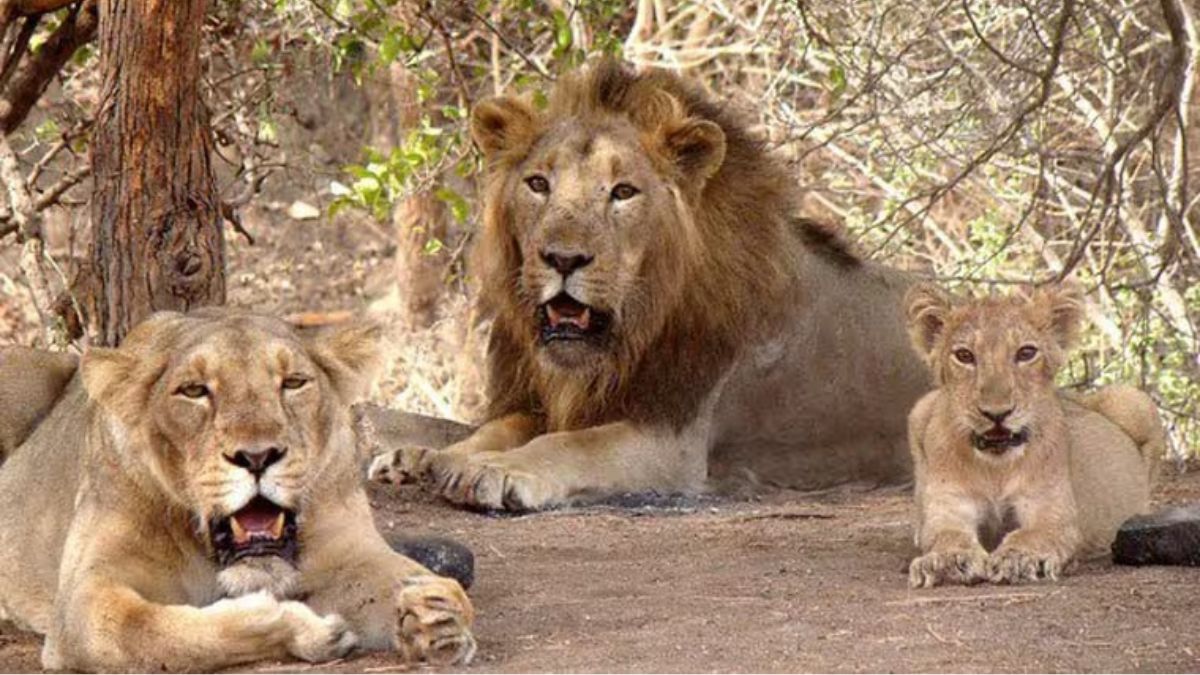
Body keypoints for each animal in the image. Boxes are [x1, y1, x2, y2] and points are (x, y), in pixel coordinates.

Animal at [0, 309, 476, 672]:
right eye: (194, 391)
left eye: (293, 382)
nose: (258, 456)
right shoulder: (82, 599)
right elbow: (158, 634)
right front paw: (302, 628)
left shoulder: (349, 552)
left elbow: (404, 579)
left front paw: (437, 614)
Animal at [373, 59, 930, 511]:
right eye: (538, 184)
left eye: (623, 192)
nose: (563, 258)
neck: (632, 333)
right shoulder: (551, 401)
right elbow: (497, 427)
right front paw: (427, 456)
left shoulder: (674, 440)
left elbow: (574, 444)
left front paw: (494, 470)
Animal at [904, 283, 1161, 588]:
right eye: (964, 356)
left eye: (1026, 353)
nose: (997, 413)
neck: (996, 468)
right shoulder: (949, 507)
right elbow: (947, 535)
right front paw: (947, 561)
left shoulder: (1052, 512)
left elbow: (1032, 534)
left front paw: (1020, 559)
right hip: (920, 408)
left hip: (1133, 399)